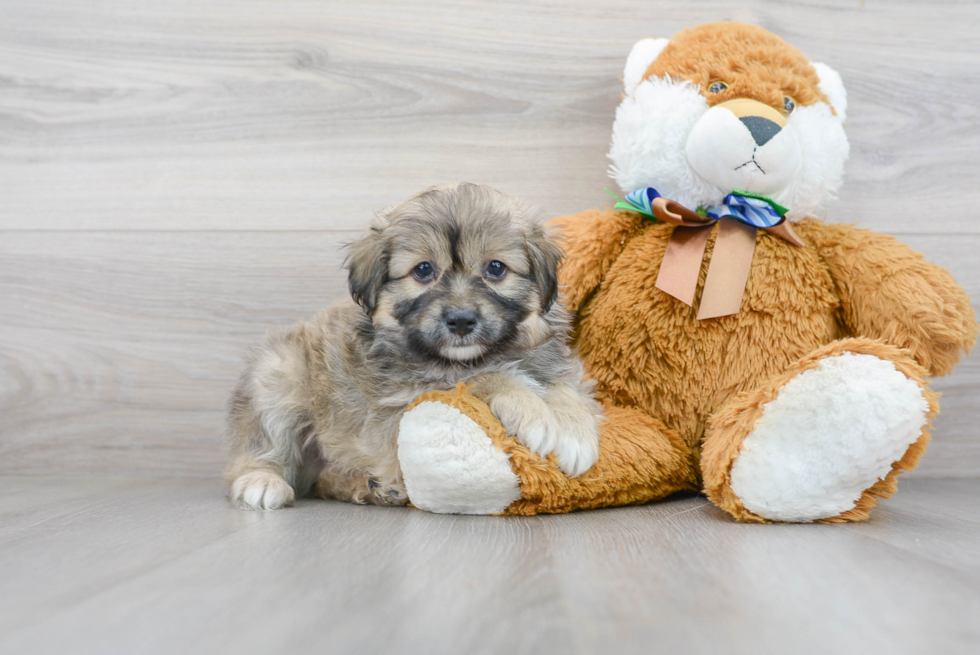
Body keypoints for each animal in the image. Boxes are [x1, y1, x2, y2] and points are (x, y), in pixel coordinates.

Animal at [225, 182, 600, 510]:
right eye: (423, 270)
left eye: (496, 268)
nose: (461, 321)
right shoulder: (405, 402)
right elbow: (485, 378)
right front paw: (534, 412)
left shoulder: (552, 365)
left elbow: (562, 388)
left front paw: (575, 431)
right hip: (277, 380)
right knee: (261, 446)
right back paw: (262, 481)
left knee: (326, 481)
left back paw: (373, 488)